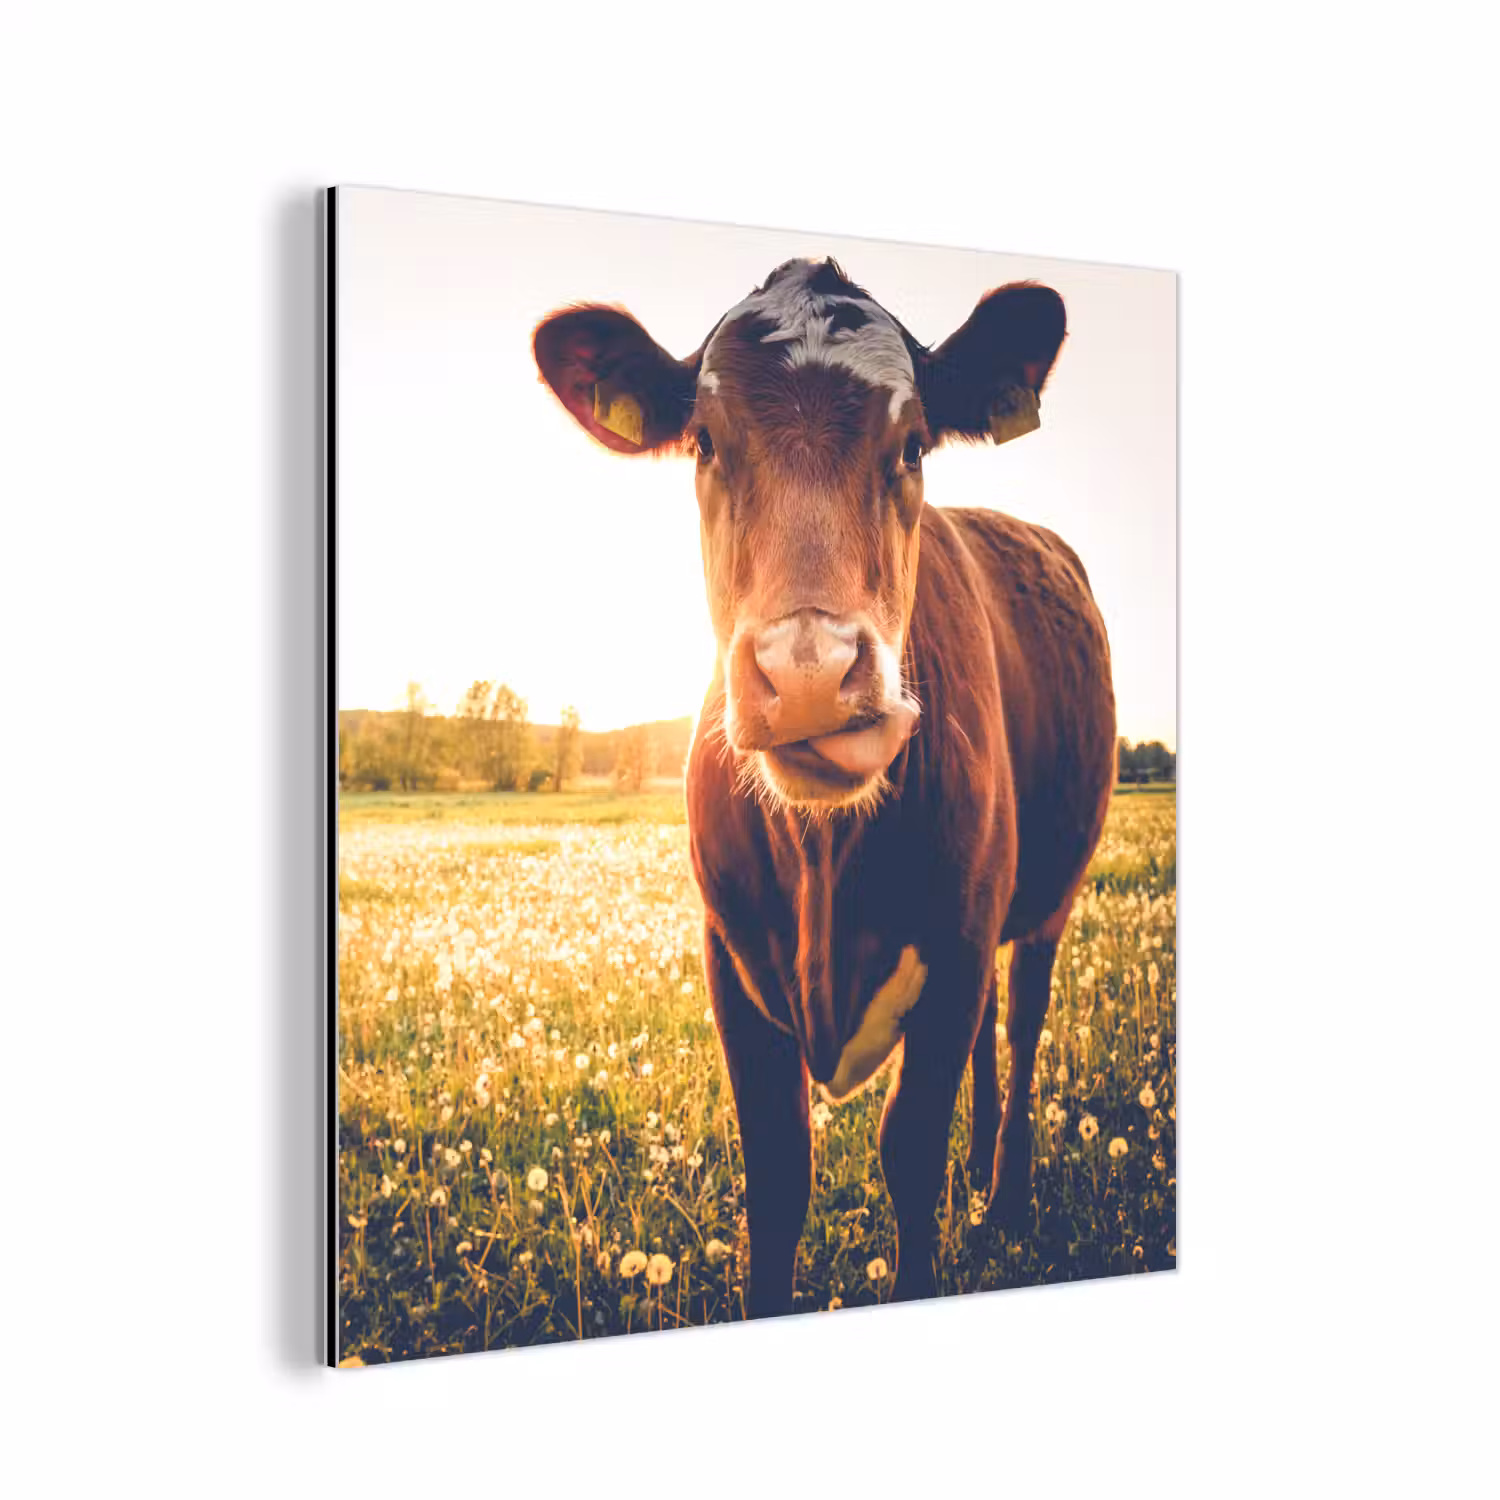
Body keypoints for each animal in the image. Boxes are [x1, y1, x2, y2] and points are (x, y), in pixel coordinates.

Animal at [533, 257, 1116, 1314]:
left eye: (914, 443)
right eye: (706, 442)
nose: (807, 671)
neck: (824, 861)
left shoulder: (960, 942)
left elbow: (909, 1152)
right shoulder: (730, 957)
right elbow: (778, 1173)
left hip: (1049, 895)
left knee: (1021, 1026)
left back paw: (1003, 1193)